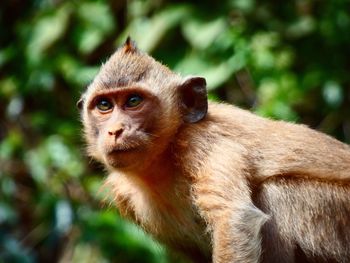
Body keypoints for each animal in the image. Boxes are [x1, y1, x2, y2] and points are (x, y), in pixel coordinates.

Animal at [78, 38, 350, 263]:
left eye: (133, 101)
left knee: (277, 193)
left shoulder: (201, 141)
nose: (115, 130)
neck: (162, 162)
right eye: (104, 105)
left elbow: (235, 220)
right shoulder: (124, 193)